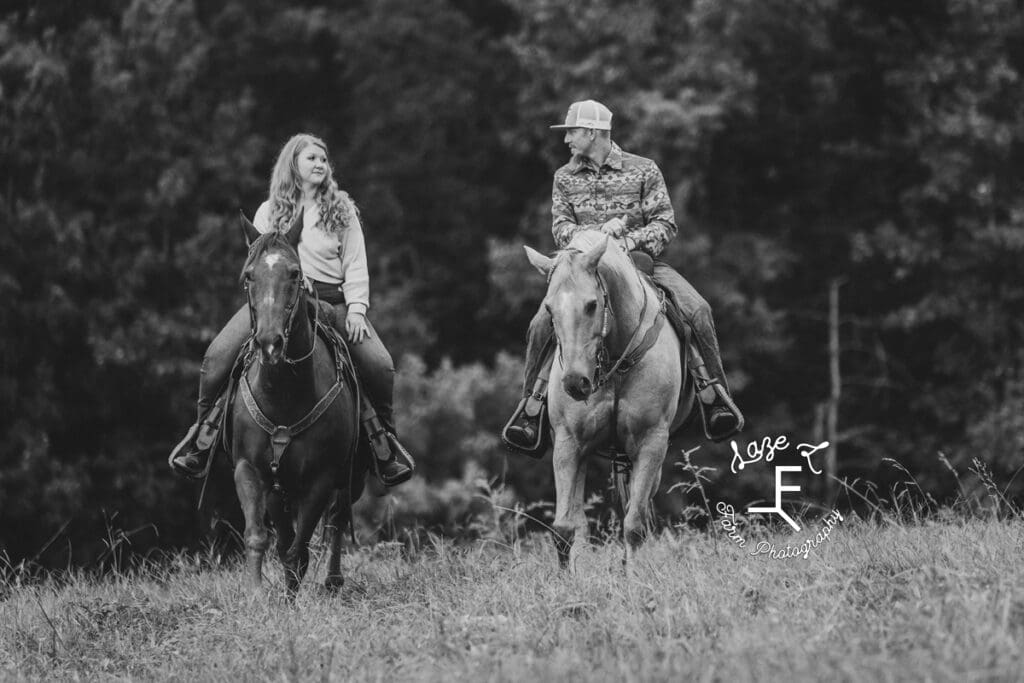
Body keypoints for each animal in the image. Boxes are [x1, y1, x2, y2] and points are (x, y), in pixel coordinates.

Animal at [232, 211, 364, 593]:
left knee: (337, 520)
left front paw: (291, 595)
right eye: (249, 275)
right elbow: (259, 537)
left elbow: (299, 547)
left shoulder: (321, 478)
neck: (284, 395)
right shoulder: (248, 468)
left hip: (352, 477)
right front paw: (256, 595)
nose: (270, 343)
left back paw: (333, 581)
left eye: (294, 273)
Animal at [524, 232, 692, 569]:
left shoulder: (652, 442)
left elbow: (635, 526)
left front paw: (633, 577)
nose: (575, 382)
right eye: (549, 309)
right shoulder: (568, 442)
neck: (616, 362)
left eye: (592, 305)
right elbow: (564, 527)